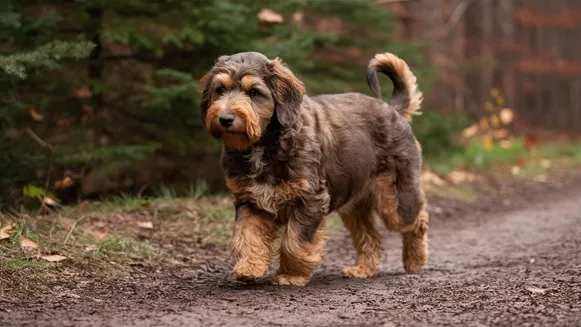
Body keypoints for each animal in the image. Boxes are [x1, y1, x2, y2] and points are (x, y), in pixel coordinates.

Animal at [199, 51, 426, 288]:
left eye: (254, 92)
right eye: (220, 89)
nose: (225, 119)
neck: (265, 145)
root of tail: (393, 110)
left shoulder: (310, 200)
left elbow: (295, 242)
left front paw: (291, 275)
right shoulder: (250, 201)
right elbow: (247, 235)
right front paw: (249, 266)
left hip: (395, 198)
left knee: (417, 221)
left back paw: (415, 261)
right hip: (355, 206)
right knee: (370, 236)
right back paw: (362, 269)